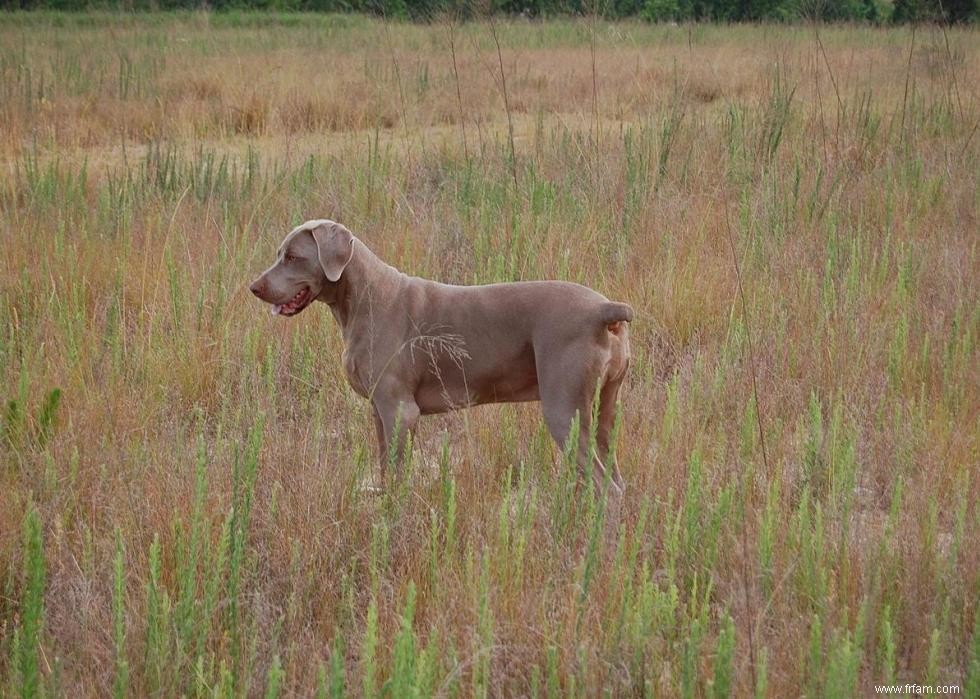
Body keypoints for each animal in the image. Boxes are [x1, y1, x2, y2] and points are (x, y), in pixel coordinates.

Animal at [251, 220, 636, 498]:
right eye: (279, 253)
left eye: (294, 257)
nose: (254, 287)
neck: (362, 300)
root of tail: (604, 309)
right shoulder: (379, 411)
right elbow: (385, 472)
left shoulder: (400, 411)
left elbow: (398, 478)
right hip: (605, 407)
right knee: (617, 478)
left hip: (564, 409)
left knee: (607, 489)